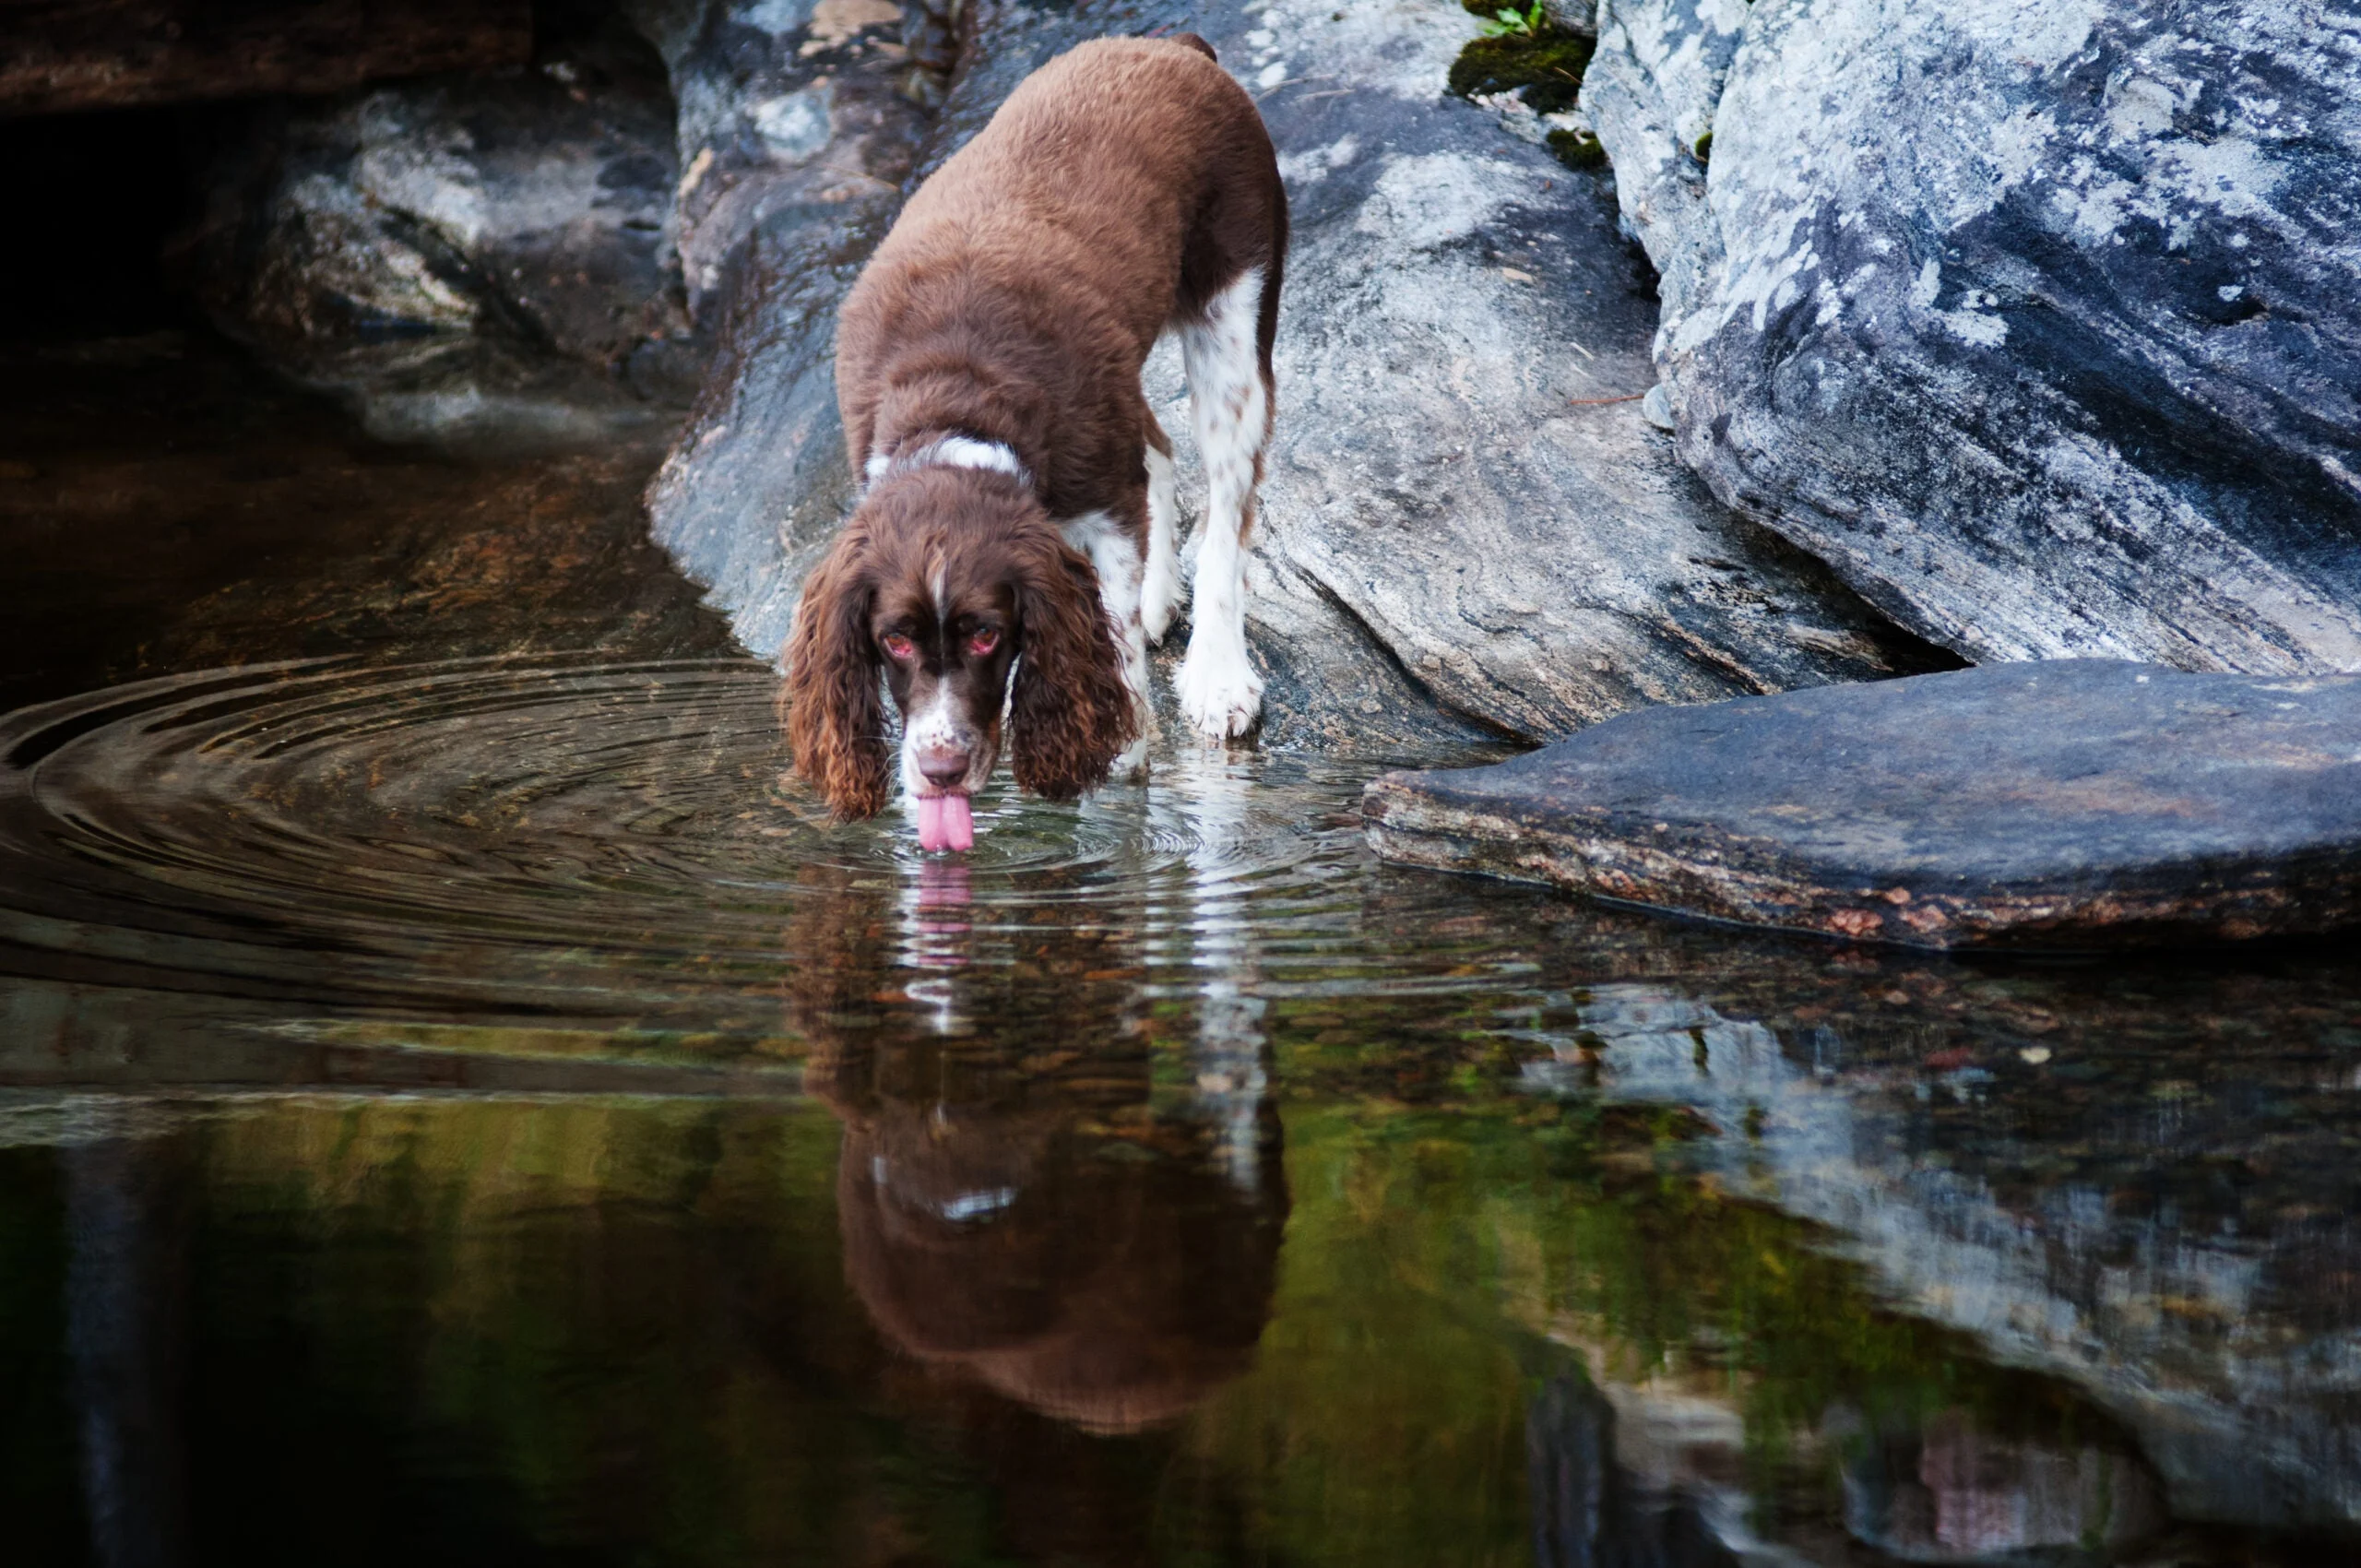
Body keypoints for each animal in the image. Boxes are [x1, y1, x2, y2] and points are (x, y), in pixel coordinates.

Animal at [783, 33, 1284, 845]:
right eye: (894, 640)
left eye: (988, 635)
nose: (943, 769)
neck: (955, 403)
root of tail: (1172, 47)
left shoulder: (1104, 506)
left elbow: (1112, 636)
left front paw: (1118, 756)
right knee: (1159, 447)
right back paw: (1161, 597)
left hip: (1235, 305)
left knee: (1229, 501)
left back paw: (1217, 675)